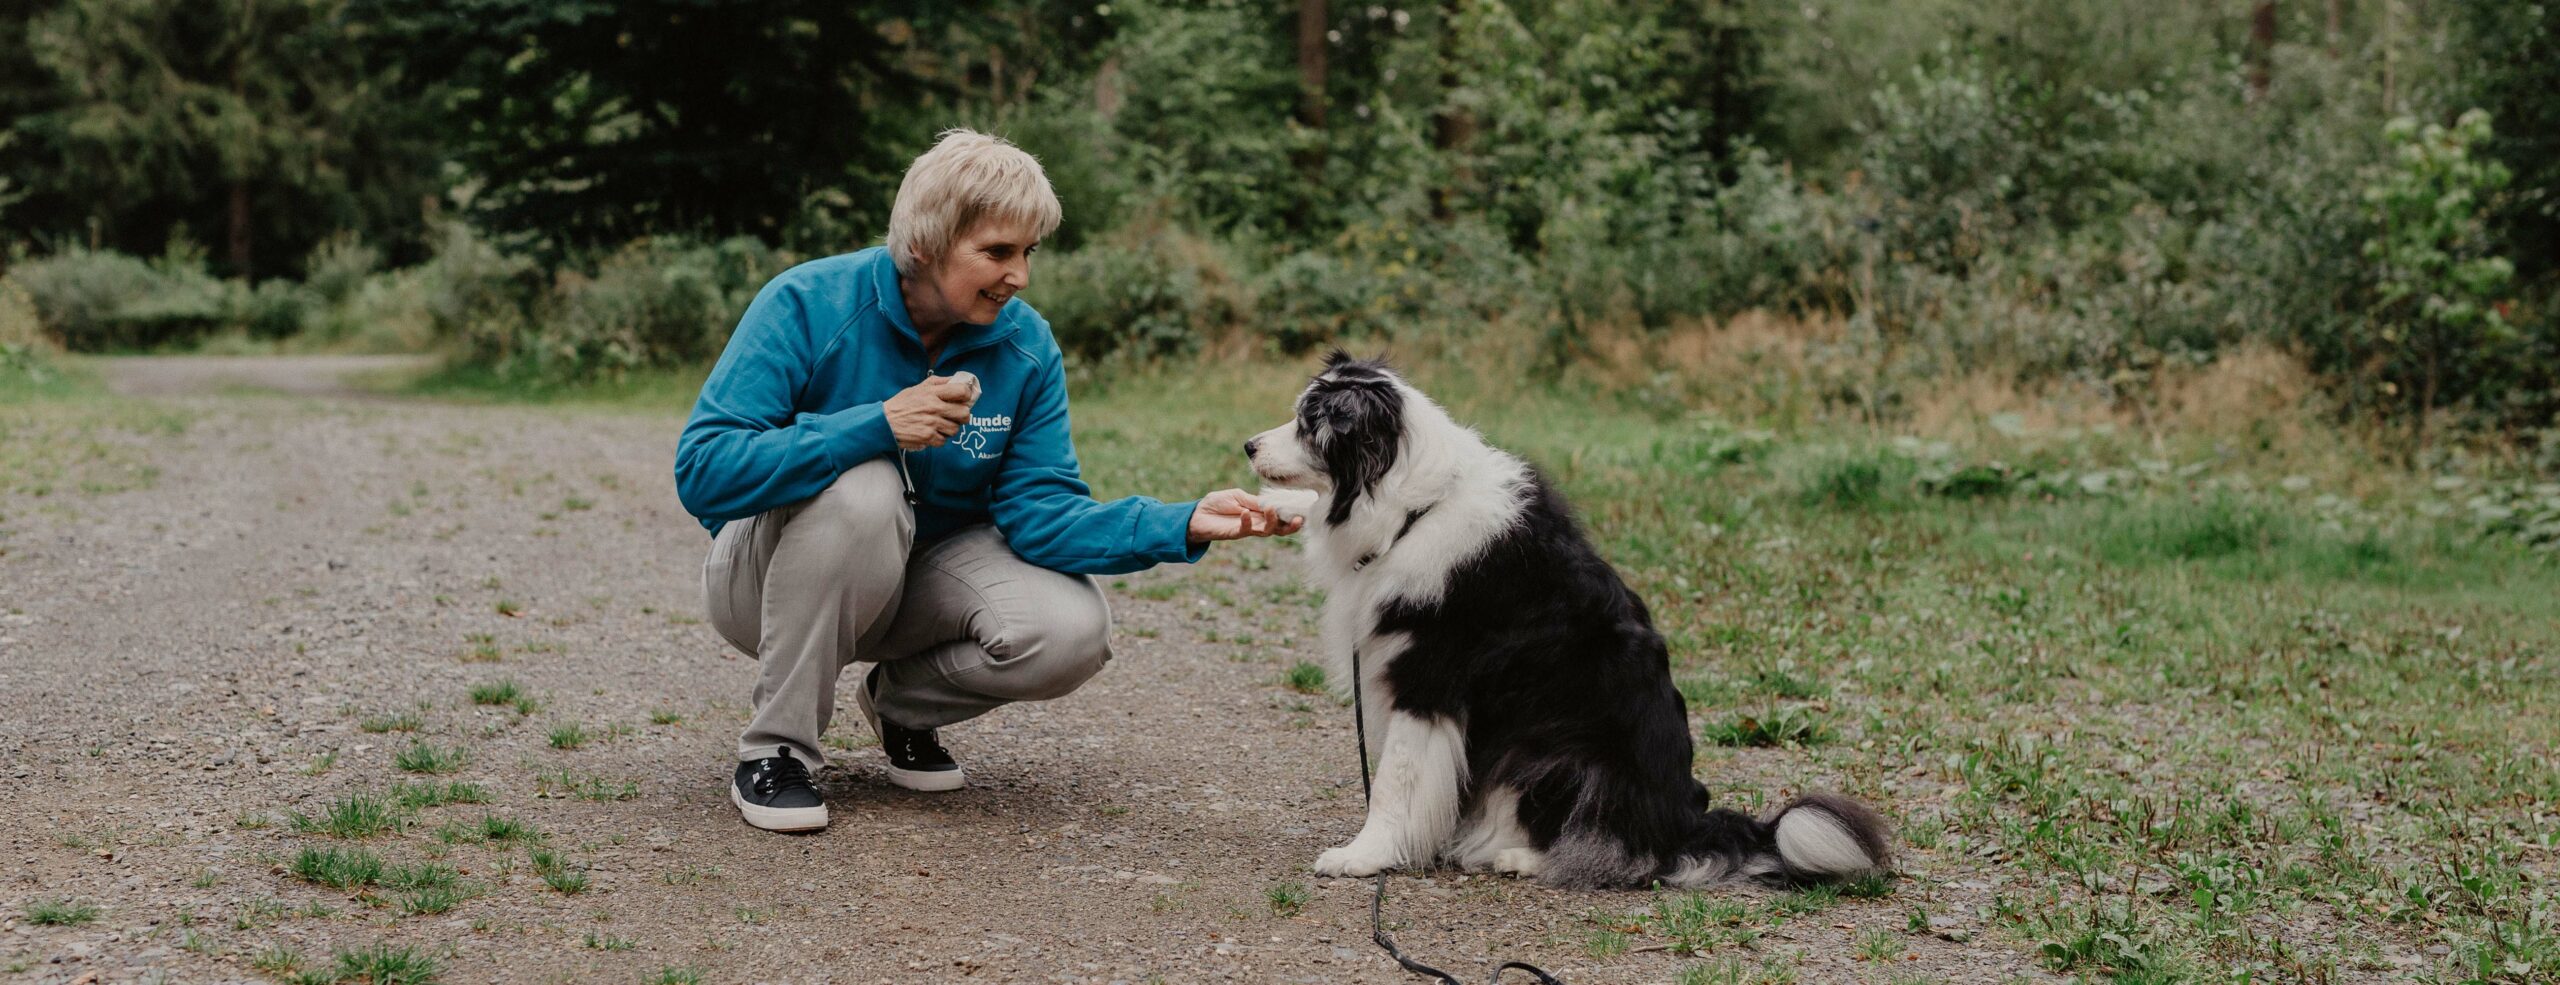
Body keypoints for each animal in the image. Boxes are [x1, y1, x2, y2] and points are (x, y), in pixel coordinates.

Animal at [1249, 355, 1894, 890]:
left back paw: (1518, 857)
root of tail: (1689, 827)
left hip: (1554, 756)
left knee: (1621, 854)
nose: (1249, 445)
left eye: (1309, 423)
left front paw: (1362, 856)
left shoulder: (1427, 679)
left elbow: (1393, 781)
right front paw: (1273, 507)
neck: (1415, 509)